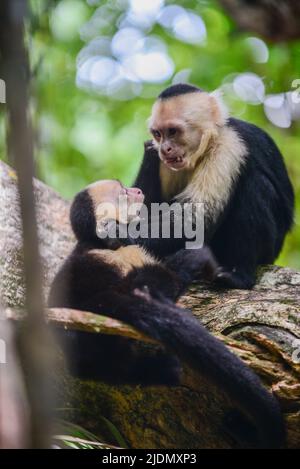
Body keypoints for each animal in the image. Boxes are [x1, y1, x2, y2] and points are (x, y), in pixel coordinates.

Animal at [49, 178, 286, 446]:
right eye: (123, 192)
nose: (137, 191)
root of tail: (94, 302)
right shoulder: (125, 250)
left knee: (110, 368)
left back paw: (161, 370)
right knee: (155, 285)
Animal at [134, 84, 292, 288]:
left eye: (173, 131)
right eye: (158, 134)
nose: (164, 148)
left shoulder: (230, 144)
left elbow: (196, 218)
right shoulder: (165, 163)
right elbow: (150, 206)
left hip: (271, 250)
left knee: (256, 184)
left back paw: (240, 275)